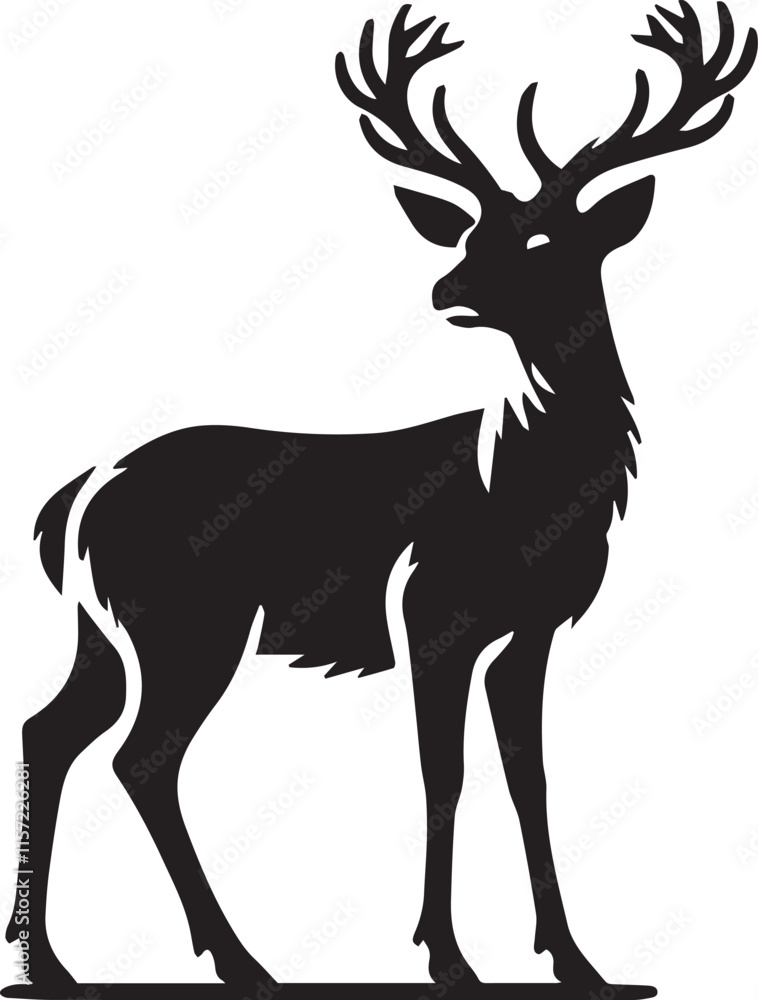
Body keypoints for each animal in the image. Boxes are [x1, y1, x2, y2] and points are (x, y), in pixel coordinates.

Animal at [6, 2, 755, 993]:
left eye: (545, 240)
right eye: (469, 236)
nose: (447, 288)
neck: (529, 489)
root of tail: (71, 499)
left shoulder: (535, 626)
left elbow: (530, 776)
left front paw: (578, 962)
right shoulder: (431, 610)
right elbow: (443, 775)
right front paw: (448, 957)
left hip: (103, 629)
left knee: (48, 731)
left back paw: (51, 961)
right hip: (186, 624)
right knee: (141, 758)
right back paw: (240, 960)